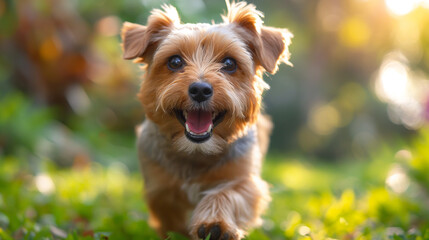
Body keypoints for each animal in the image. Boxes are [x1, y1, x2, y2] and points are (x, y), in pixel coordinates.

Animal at [120, 0, 290, 239]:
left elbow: (226, 193)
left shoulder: (243, 179)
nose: (200, 89)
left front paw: (215, 224)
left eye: (229, 63)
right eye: (174, 61)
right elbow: (169, 216)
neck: (196, 152)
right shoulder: (159, 189)